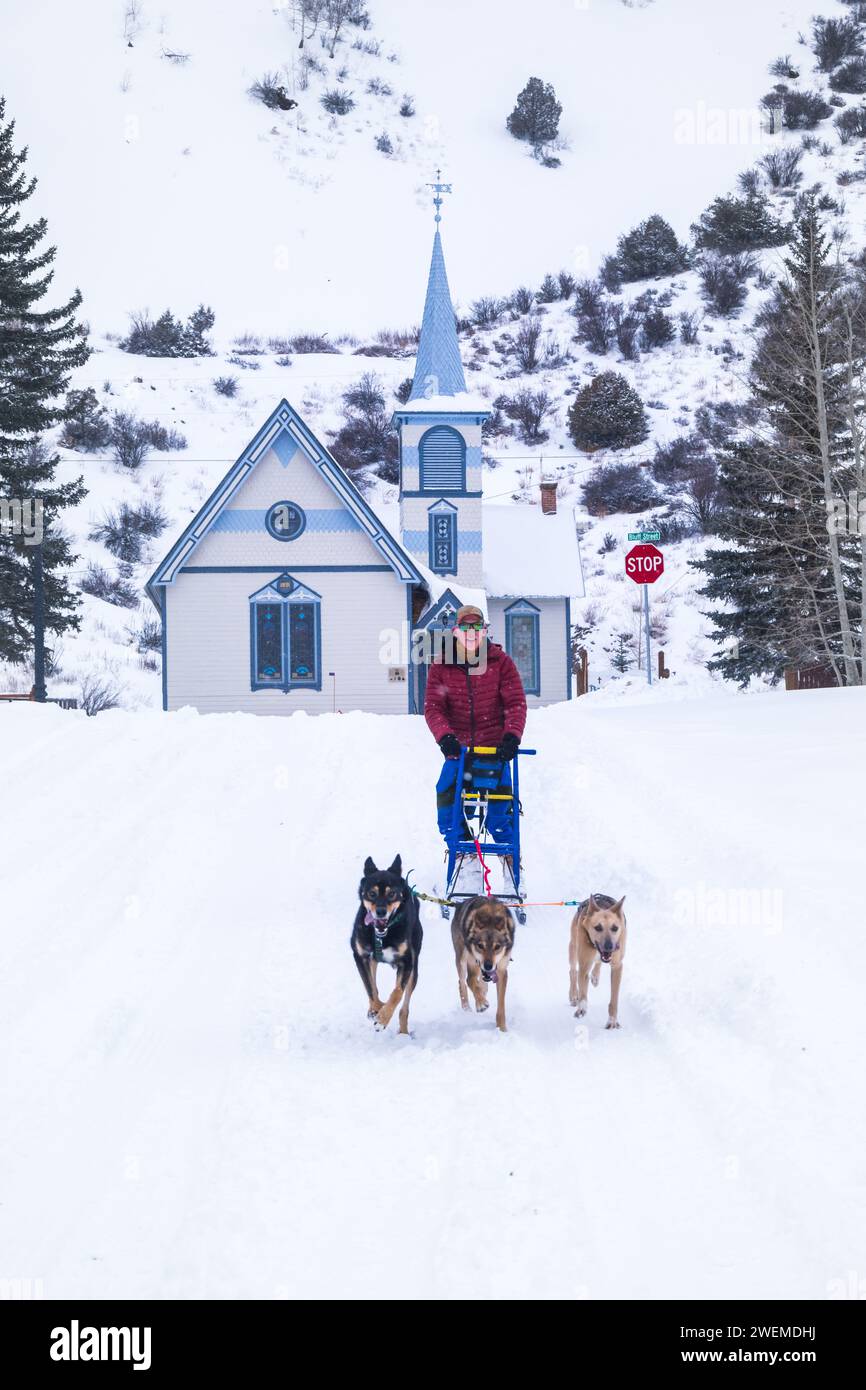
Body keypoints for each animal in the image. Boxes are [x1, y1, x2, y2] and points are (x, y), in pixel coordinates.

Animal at [348, 850, 422, 1039]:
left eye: (392, 894)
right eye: (372, 893)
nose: (380, 912)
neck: (382, 935)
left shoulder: (407, 962)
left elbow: (397, 993)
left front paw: (383, 1019)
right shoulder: (360, 956)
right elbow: (370, 987)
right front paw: (376, 1010)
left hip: (414, 970)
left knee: (404, 1008)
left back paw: (403, 1033)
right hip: (372, 960)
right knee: (374, 984)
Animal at [453, 889, 514, 1034]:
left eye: (497, 947)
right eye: (480, 946)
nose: (488, 965)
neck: (490, 918)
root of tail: (459, 904)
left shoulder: (502, 970)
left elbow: (501, 1005)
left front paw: (501, 1029)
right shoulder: (473, 962)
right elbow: (470, 982)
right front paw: (481, 1004)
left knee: (479, 983)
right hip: (462, 960)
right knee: (462, 982)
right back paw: (467, 1006)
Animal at [569, 895, 622, 1028]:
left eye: (615, 928)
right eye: (598, 927)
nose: (609, 947)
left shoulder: (617, 966)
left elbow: (614, 998)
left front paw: (612, 1020)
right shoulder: (584, 963)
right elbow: (583, 992)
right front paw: (581, 1008)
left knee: (597, 964)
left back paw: (595, 976)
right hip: (573, 947)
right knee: (573, 971)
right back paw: (573, 995)